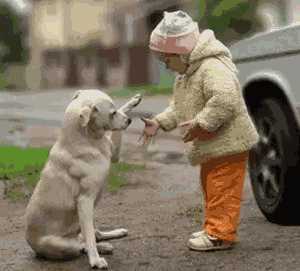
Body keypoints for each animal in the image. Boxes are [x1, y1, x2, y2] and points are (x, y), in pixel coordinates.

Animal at [25, 90, 142, 270]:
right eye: (112, 113)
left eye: (116, 109)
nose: (129, 121)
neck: (87, 139)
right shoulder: (85, 201)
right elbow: (90, 241)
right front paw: (95, 261)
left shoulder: (114, 153)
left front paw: (133, 102)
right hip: (64, 244)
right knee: (83, 244)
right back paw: (99, 250)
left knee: (94, 234)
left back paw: (113, 236)